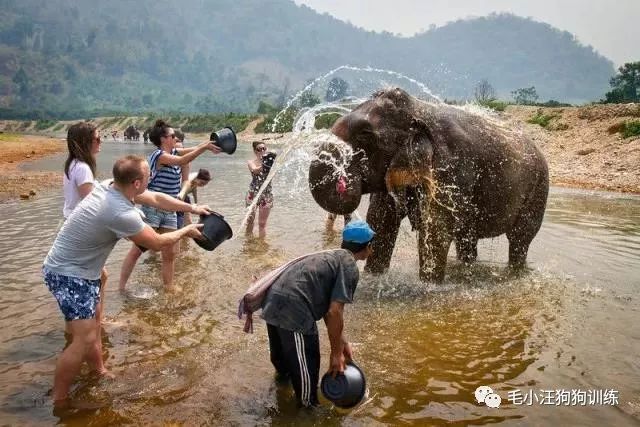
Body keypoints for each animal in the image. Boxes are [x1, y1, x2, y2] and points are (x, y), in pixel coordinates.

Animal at [308, 88, 548, 282]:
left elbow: (435, 231)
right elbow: (381, 220)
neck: (418, 109)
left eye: (365, 135)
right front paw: (374, 278)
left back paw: (514, 274)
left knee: (519, 238)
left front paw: (429, 287)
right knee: (467, 239)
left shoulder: (450, 169)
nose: (344, 181)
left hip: (538, 189)